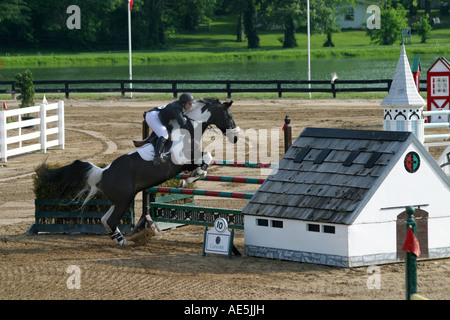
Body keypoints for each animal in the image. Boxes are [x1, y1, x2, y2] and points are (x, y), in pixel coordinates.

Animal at [39, 99, 239, 246]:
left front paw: (190, 178)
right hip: (124, 200)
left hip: (121, 199)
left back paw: (120, 239)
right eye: (228, 115)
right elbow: (206, 158)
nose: (235, 137)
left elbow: (204, 161)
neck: (188, 129)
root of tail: (103, 171)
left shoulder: (187, 162)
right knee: (110, 221)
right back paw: (124, 242)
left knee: (105, 219)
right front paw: (189, 179)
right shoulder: (182, 161)